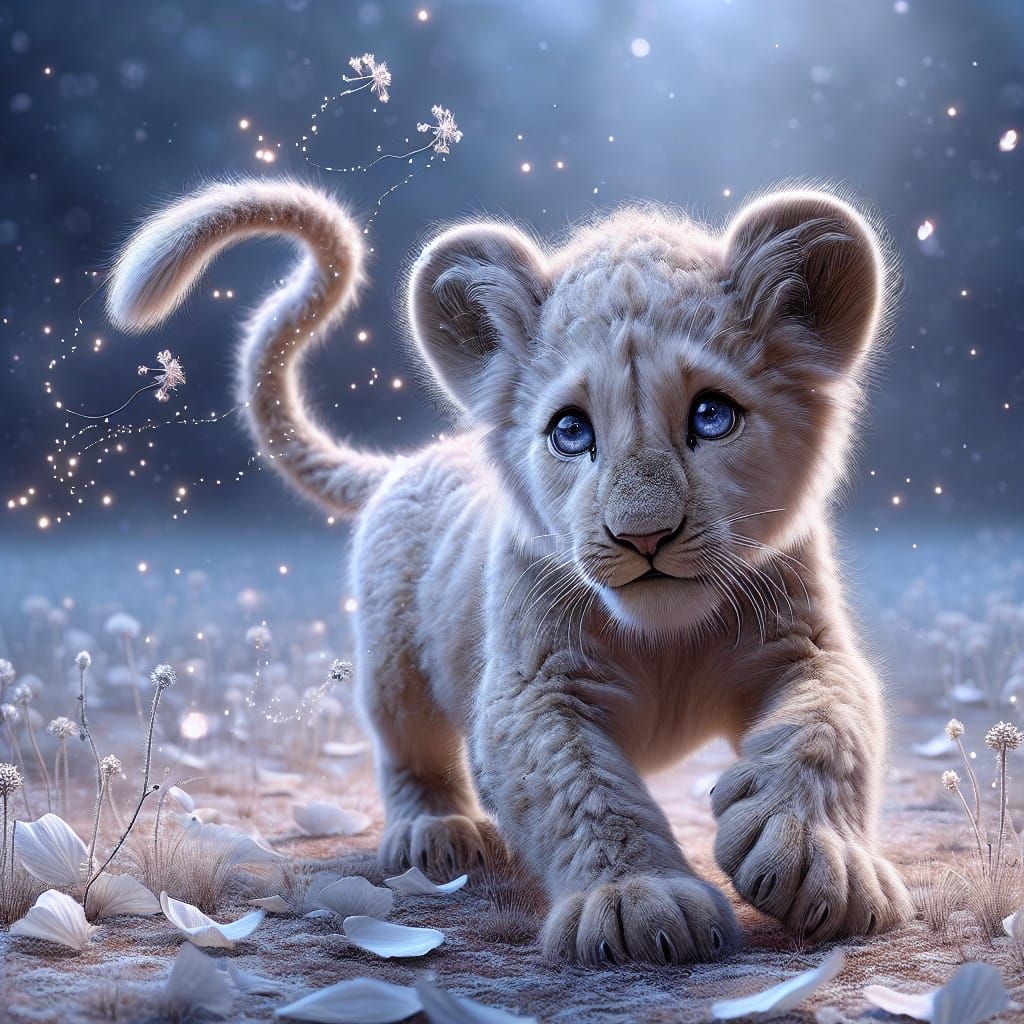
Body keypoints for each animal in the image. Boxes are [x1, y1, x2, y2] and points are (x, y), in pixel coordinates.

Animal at [107, 179, 913, 964]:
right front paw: (638, 905)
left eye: (712, 416)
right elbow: (580, 788)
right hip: (395, 670)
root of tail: (414, 458)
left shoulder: (803, 643)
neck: (664, 637)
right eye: (571, 431)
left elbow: (829, 723)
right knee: (408, 747)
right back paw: (436, 834)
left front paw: (815, 859)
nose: (644, 534)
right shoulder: (531, 688)